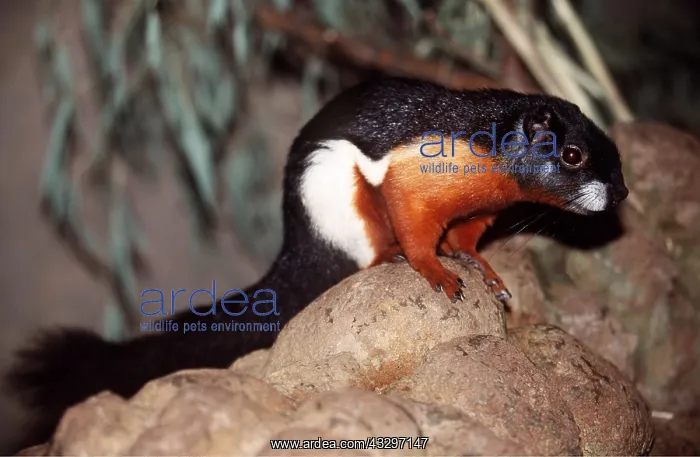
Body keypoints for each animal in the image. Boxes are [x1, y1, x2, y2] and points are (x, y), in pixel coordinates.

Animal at [5, 77, 628, 450]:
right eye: (572, 155)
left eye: (614, 152)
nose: (620, 194)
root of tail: (297, 242)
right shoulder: (415, 179)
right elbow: (418, 230)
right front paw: (436, 273)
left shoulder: (484, 211)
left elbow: (469, 239)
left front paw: (485, 272)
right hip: (341, 204)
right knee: (368, 249)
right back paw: (389, 256)